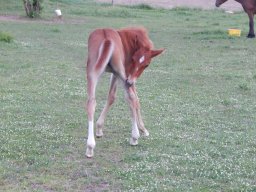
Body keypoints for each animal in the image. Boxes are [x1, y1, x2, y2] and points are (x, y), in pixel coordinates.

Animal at [85, 27, 164, 158]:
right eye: (133, 59)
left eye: (146, 64)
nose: (130, 81)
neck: (128, 41)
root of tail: (106, 36)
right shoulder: (126, 74)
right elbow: (134, 100)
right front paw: (143, 129)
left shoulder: (120, 75)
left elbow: (113, 97)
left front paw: (99, 129)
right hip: (120, 73)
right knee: (131, 97)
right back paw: (134, 138)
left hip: (94, 71)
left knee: (91, 102)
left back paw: (90, 147)